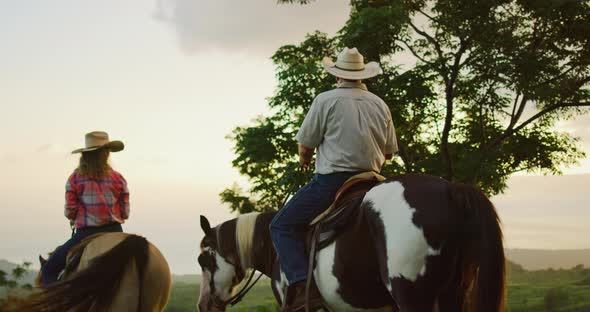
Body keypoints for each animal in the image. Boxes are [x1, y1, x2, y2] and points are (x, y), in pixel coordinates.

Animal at [197, 174, 506, 310]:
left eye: (202, 260)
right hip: (453, 293)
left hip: (413, 295)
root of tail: (453, 189)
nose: (203, 305)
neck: (274, 249)